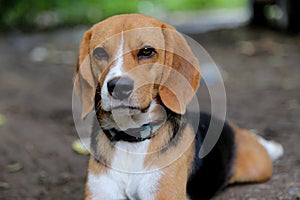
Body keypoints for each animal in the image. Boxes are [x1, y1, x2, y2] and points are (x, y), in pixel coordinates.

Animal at [74, 13, 284, 199]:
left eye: (147, 51)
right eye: (99, 53)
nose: (118, 87)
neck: (131, 139)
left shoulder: (165, 195)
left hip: (259, 167)